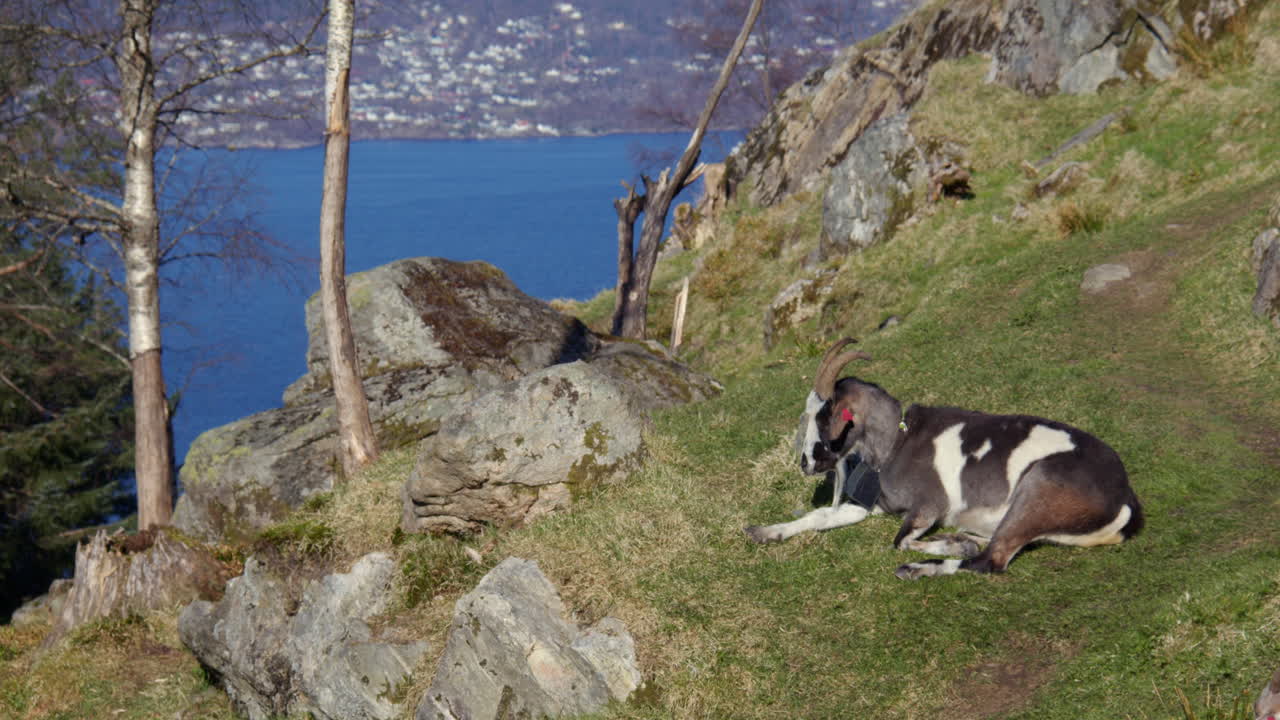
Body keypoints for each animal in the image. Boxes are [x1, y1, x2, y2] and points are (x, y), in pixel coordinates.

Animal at [746, 338, 1144, 580]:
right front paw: (763, 531)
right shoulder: (876, 505)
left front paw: (947, 544)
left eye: (823, 416)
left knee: (991, 560)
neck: (898, 441)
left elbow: (900, 540)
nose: (805, 464)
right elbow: (819, 517)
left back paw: (920, 566)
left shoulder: (928, 506)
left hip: (1037, 491)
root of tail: (1124, 500)